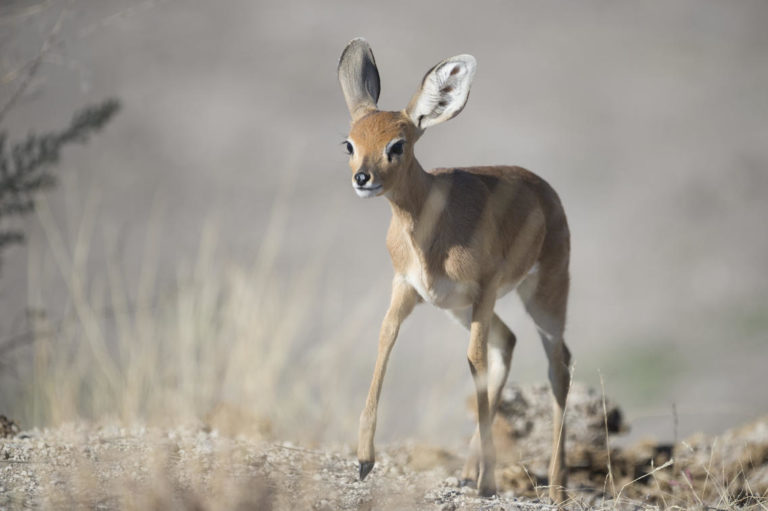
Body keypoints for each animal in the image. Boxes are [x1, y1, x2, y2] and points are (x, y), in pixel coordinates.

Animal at [338, 38, 572, 502]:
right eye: (350, 143)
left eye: (398, 144)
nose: (363, 178)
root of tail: (547, 193)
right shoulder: (406, 288)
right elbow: (385, 342)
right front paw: (364, 460)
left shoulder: (483, 290)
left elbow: (473, 359)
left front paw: (491, 482)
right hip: (460, 310)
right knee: (508, 342)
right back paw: (469, 472)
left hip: (542, 299)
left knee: (560, 366)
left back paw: (554, 489)